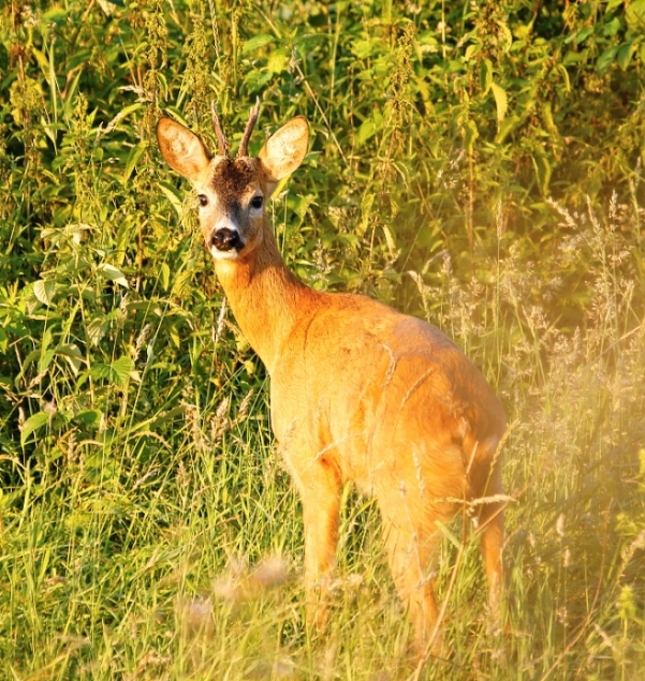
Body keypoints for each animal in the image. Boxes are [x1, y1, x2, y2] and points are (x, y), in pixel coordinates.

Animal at [156, 102, 508, 660]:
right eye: (202, 196)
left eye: (258, 198)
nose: (224, 237)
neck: (287, 327)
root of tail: (468, 422)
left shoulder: (312, 460)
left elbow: (317, 570)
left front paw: (311, 646)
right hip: (492, 491)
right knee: (502, 600)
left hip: (409, 502)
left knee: (430, 620)